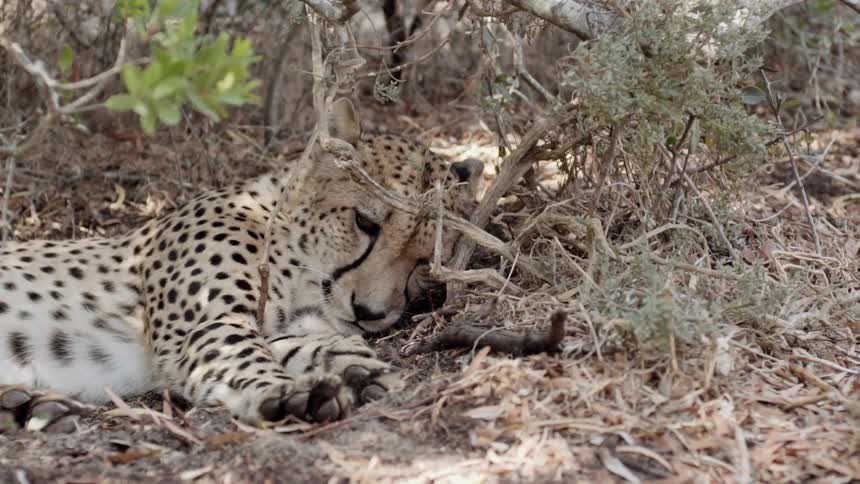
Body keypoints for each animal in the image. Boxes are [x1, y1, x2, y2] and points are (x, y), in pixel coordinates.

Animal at [0, 99, 483, 432]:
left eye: (425, 262)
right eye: (365, 222)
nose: (369, 312)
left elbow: (295, 342)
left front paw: (354, 365)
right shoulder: (202, 327)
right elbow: (243, 355)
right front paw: (288, 392)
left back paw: (27, 405)